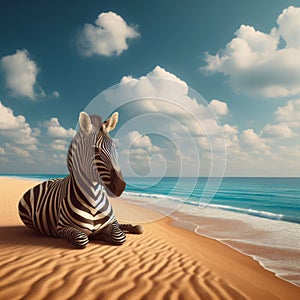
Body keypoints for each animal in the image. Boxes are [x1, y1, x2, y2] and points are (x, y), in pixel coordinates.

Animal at [18, 111, 144, 247]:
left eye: (116, 148)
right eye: (95, 150)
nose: (120, 186)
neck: (93, 199)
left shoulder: (112, 223)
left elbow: (118, 236)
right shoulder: (62, 227)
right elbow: (82, 238)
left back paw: (134, 227)